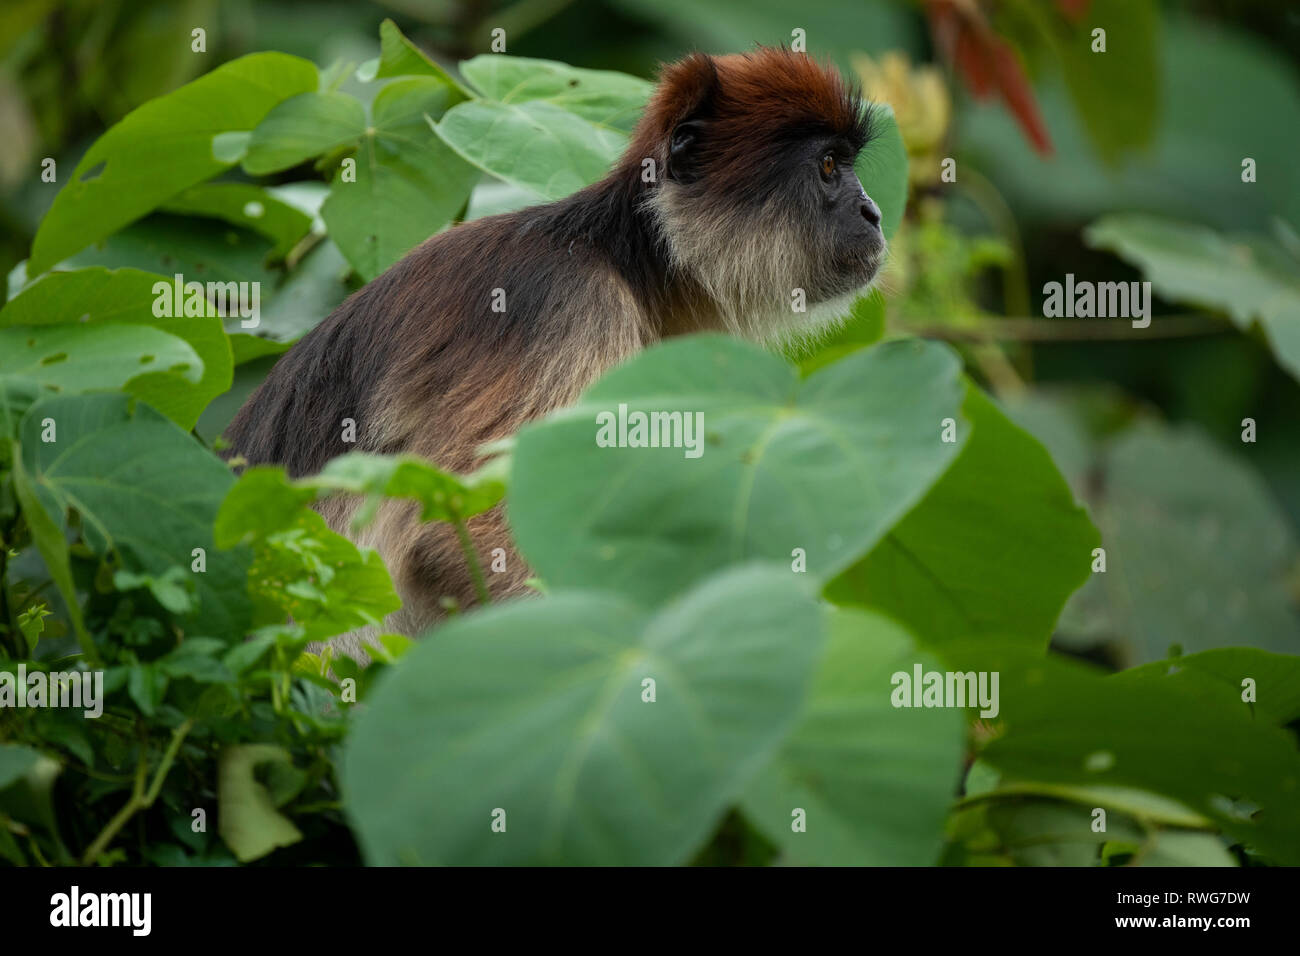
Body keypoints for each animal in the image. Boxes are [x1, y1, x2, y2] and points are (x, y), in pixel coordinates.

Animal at [228, 46, 889, 658]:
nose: (874, 212)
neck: (630, 266)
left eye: (845, 164)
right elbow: (454, 533)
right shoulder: (565, 309)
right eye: (829, 166)